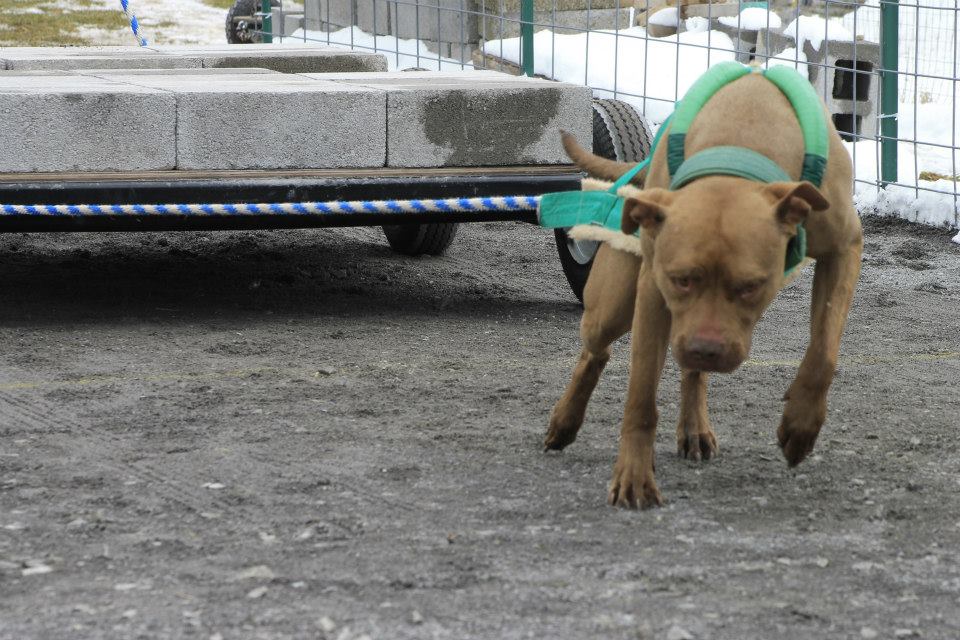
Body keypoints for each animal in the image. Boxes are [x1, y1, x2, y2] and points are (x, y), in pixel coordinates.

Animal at [544, 72, 868, 508]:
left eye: (750, 286)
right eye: (680, 279)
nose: (707, 348)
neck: (740, 143)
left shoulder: (844, 249)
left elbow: (824, 352)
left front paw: (800, 424)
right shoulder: (654, 290)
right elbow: (641, 396)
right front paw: (634, 477)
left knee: (689, 371)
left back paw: (694, 426)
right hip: (616, 305)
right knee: (595, 353)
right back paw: (564, 421)